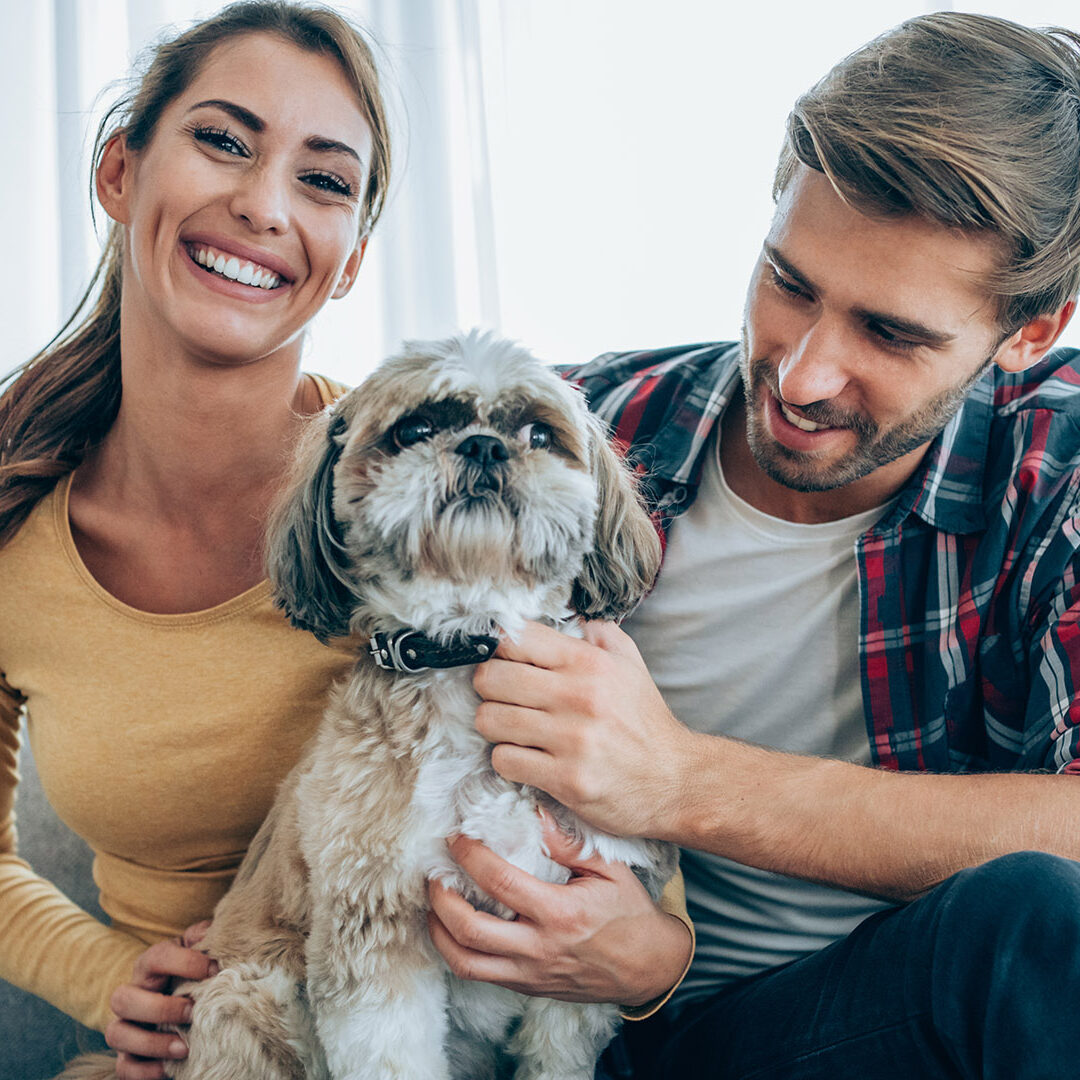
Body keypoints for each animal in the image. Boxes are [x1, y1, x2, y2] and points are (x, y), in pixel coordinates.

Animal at [59, 330, 673, 1080]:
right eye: (414, 430)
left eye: (537, 433)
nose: (484, 447)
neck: (464, 648)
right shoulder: (373, 925)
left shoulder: (579, 949)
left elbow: (557, 1053)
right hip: (244, 996)